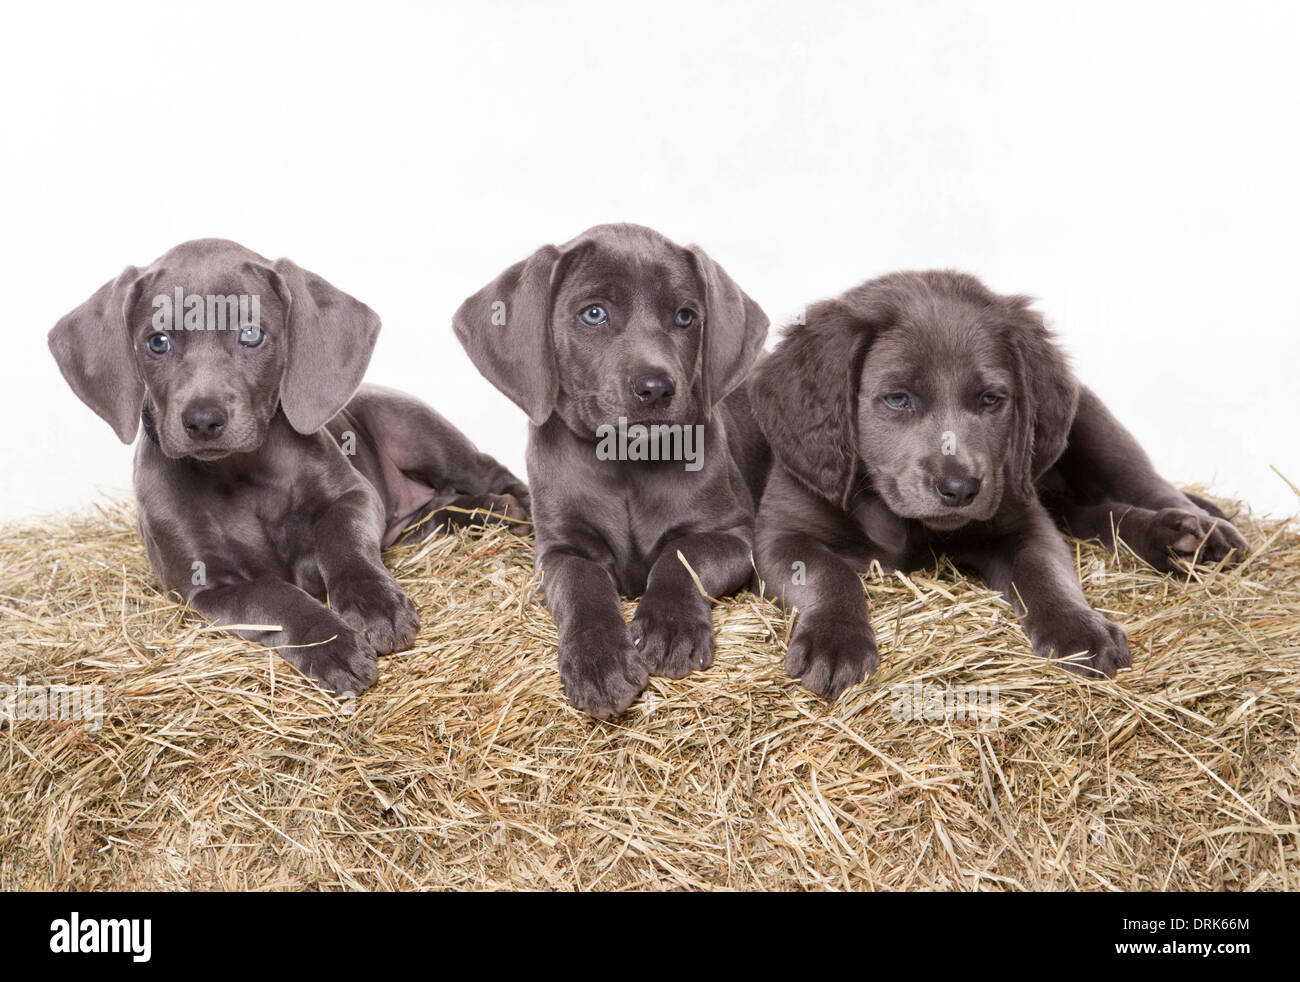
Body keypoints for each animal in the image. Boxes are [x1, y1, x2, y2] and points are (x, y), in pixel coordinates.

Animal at [50, 239, 527, 697]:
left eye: (251, 335)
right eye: (158, 342)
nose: (203, 421)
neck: (238, 472)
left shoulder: (354, 495)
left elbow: (341, 540)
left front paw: (374, 605)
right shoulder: (206, 590)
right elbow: (274, 595)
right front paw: (331, 645)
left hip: (416, 430)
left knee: (493, 472)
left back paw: (520, 514)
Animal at [454, 222, 764, 717]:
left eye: (685, 317)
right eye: (594, 314)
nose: (656, 388)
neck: (626, 465)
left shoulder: (734, 534)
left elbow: (683, 555)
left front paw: (671, 627)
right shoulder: (560, 551)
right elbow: (583, 585)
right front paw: (598, 661)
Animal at [754, 269, 1248, 697]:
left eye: (991, 399)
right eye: (897, 399)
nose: (960, 489)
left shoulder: (1022, 518)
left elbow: (1042, 570)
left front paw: (1077, 628)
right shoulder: (782, 533)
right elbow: (826, 572)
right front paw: (835, 641)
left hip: (1091, 422)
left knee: (1143, 481)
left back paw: (1201, 531)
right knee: (1092, 514)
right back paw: (1168, 536)